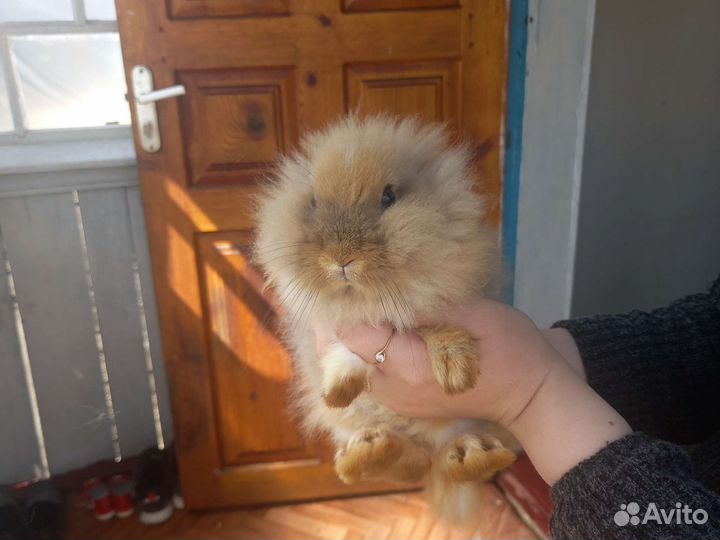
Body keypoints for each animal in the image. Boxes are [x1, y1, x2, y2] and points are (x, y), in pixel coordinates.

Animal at [254, 115, 517, 524]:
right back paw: (368, 453)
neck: (363, 299)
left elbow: (430, 325)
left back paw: (474, 454)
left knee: (443, 459)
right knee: (414, 463)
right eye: (313, 201)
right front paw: (337, 391)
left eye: (389, 197)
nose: (341, 259)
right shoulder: (332, 327)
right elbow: (343, 355)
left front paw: (457, 370)